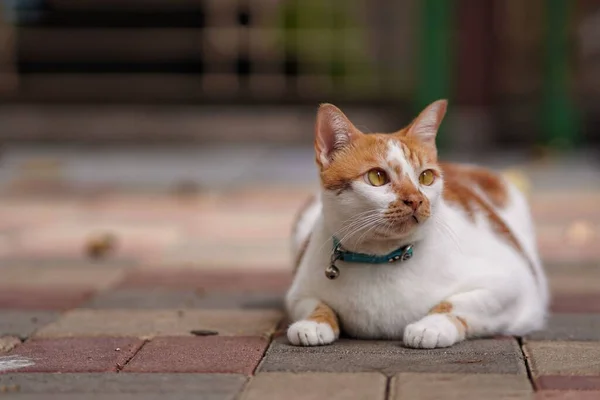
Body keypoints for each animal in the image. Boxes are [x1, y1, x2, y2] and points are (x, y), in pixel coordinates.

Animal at [286, 99, 548, 346]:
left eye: (426, 177)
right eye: (377, 177)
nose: (416, 200)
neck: (381, 258)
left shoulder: (513, 282)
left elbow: (458, 303)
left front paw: (431, 327)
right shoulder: (297, 293)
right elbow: (313, 304)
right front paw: (313, 324)